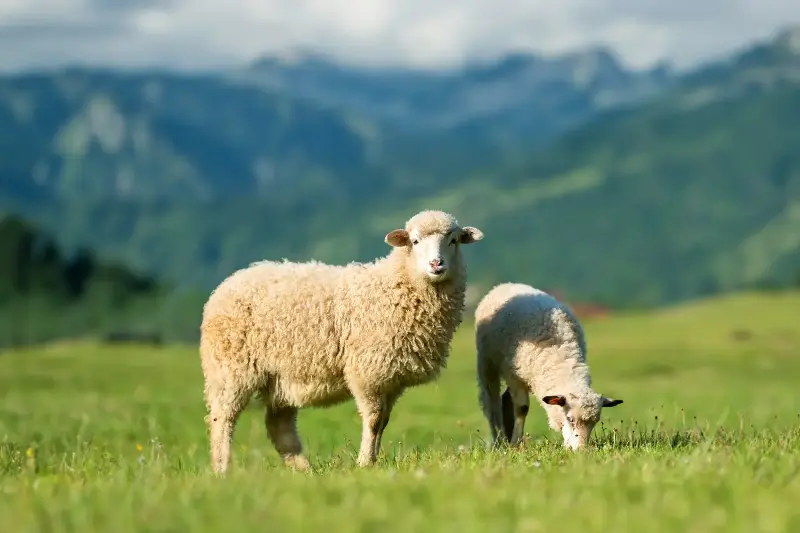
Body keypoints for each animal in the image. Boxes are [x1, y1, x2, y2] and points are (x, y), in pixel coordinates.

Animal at [200, 210, 484, 474]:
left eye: (454, 240)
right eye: (414, 241)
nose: (436, 264)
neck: (396, 284)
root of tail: (226, 284)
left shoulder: (392, 379)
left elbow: (384, 422)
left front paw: (373, 460)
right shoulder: (367, 373)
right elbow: (374, 420)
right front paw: (364, 463)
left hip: (281, 376)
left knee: (278, 425)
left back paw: (304, 470)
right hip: (230, 369)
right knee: (222, 420)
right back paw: (222, 470)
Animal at [475, 283, 623, 450]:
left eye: (595, 422)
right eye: (570, 419)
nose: (581, 451)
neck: (561, 357)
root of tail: (506, 284)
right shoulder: (514, 376)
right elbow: (522, 408)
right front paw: (516, 443)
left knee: (505, 397)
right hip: (487, 363)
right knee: (491, 403)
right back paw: (498, 439)